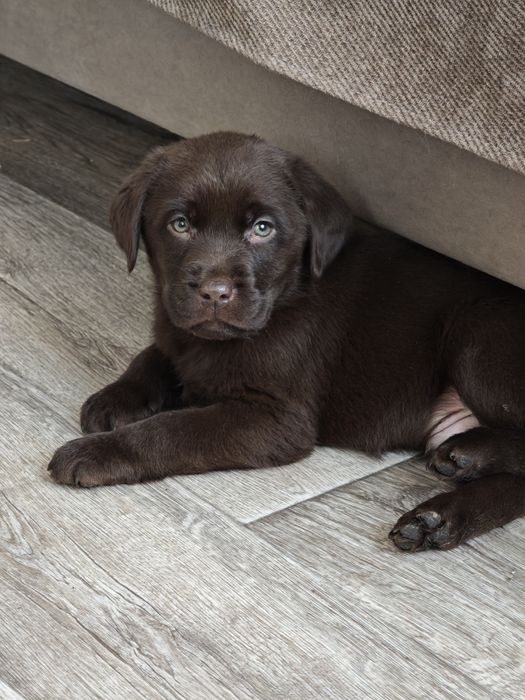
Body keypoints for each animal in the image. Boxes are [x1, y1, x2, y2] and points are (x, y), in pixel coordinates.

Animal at [48, 132, 525, 552]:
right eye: (179, 224)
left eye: (263, 228)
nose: (215, 293)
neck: (284, 299)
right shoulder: (178, 330)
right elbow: (154, 355)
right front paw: (115, 398)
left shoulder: (277, 420)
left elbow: (171, 429)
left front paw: (96, 452)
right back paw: (438, 518)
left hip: (478, 339)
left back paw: (469, 453)